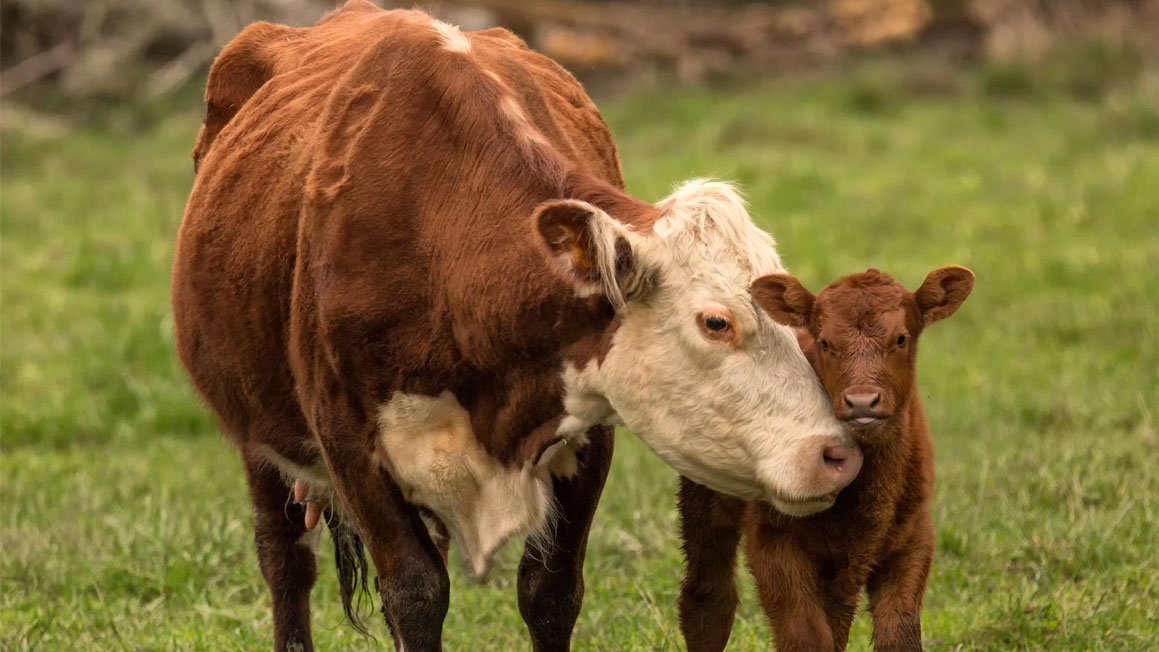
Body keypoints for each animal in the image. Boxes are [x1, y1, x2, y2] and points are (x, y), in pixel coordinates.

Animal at [171, 2, 857, 650]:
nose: (838, 454)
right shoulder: (347, 440)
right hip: (258, 435)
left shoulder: (588, 429)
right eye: (717, 322)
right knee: (284, 558)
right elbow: (415, 594)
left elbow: (549, 592)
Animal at [677, 266, 975, 652]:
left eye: (901, 339)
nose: (862, 402)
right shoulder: (774, 538)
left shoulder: (913, 539)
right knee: (709, 600)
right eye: (825, 343)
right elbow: (806, 635)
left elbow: (898, 633)